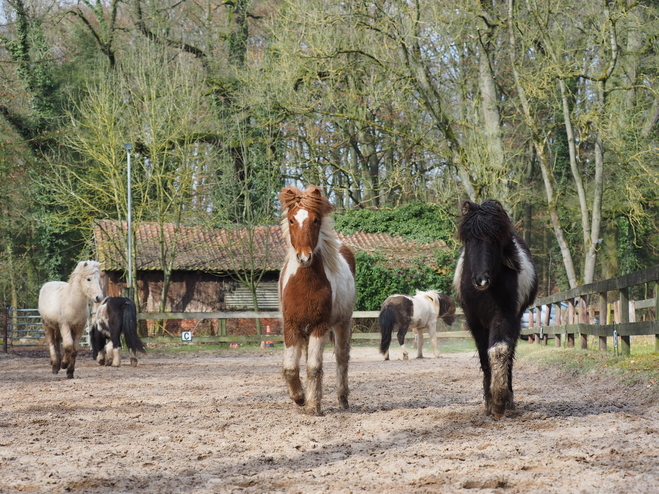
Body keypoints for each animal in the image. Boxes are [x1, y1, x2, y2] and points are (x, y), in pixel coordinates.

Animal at [282, 183, 358, 414]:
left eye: (315, 220)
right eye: (292, 220)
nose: (304, 257)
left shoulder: (320, 326)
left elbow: (315, 368)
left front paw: (313, 405)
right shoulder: (291, 326)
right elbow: (290, 368)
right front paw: (299, 398)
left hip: (343, 323)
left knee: (342, 358)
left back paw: (343, 399)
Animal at [456, 199, 540, 418]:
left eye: (495, 240)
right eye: (469, 240)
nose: (481, 279)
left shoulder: (505, 316)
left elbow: (500, 350)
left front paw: (501, 400)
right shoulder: (474, 321)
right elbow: (484, 355)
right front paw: (489, 403)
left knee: (509, 353)